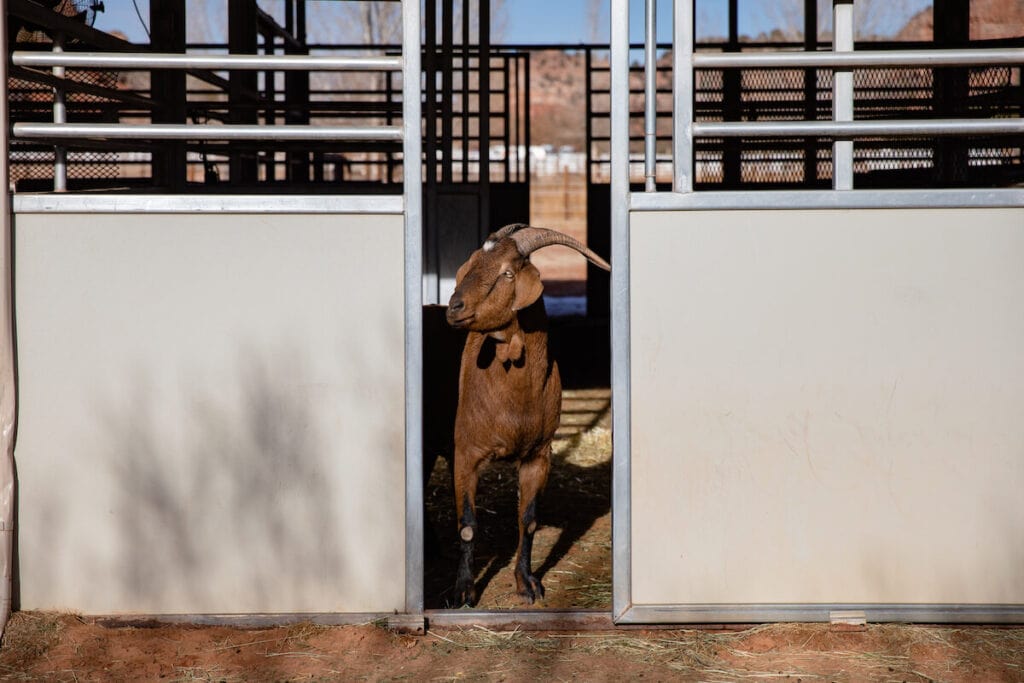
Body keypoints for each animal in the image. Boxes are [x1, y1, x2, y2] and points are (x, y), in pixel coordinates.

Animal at [446, 223, 606, 602]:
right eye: (472, 263)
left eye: (507, 273)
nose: (454, 307)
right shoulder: (466, 452)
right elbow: (468, 525)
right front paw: (463, 591)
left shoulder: (538, 454)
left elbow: (529, 520)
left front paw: (527, 583)